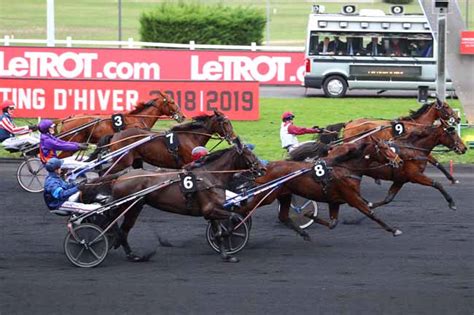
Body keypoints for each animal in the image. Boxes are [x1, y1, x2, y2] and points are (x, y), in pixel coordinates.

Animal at [82, 141, 266, 264]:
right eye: (250, 155)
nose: (263, 169)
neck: (209, 176)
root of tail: (121, 176)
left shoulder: (212, 211)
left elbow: (219, 232)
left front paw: (226, 255)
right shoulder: (211, 209)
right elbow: (233, 218)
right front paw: (231, 236)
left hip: (134, 207)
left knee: (121, 227)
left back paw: (128, 251)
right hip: (129, 206)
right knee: (115, 224)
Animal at [86, 110, 237, 175]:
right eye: (225, 122)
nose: (234, 138)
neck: (191, 136)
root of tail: (116, 135)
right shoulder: (188, 163)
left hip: (134, 161)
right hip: (122, 162)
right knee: (103, 173)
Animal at [320, 100, 462, 184]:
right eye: (447, 107)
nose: (458, 118)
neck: (416, 125)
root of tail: (348, 123)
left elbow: (437, 163)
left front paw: (452, 179)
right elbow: (435, 161)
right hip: (351, 143)